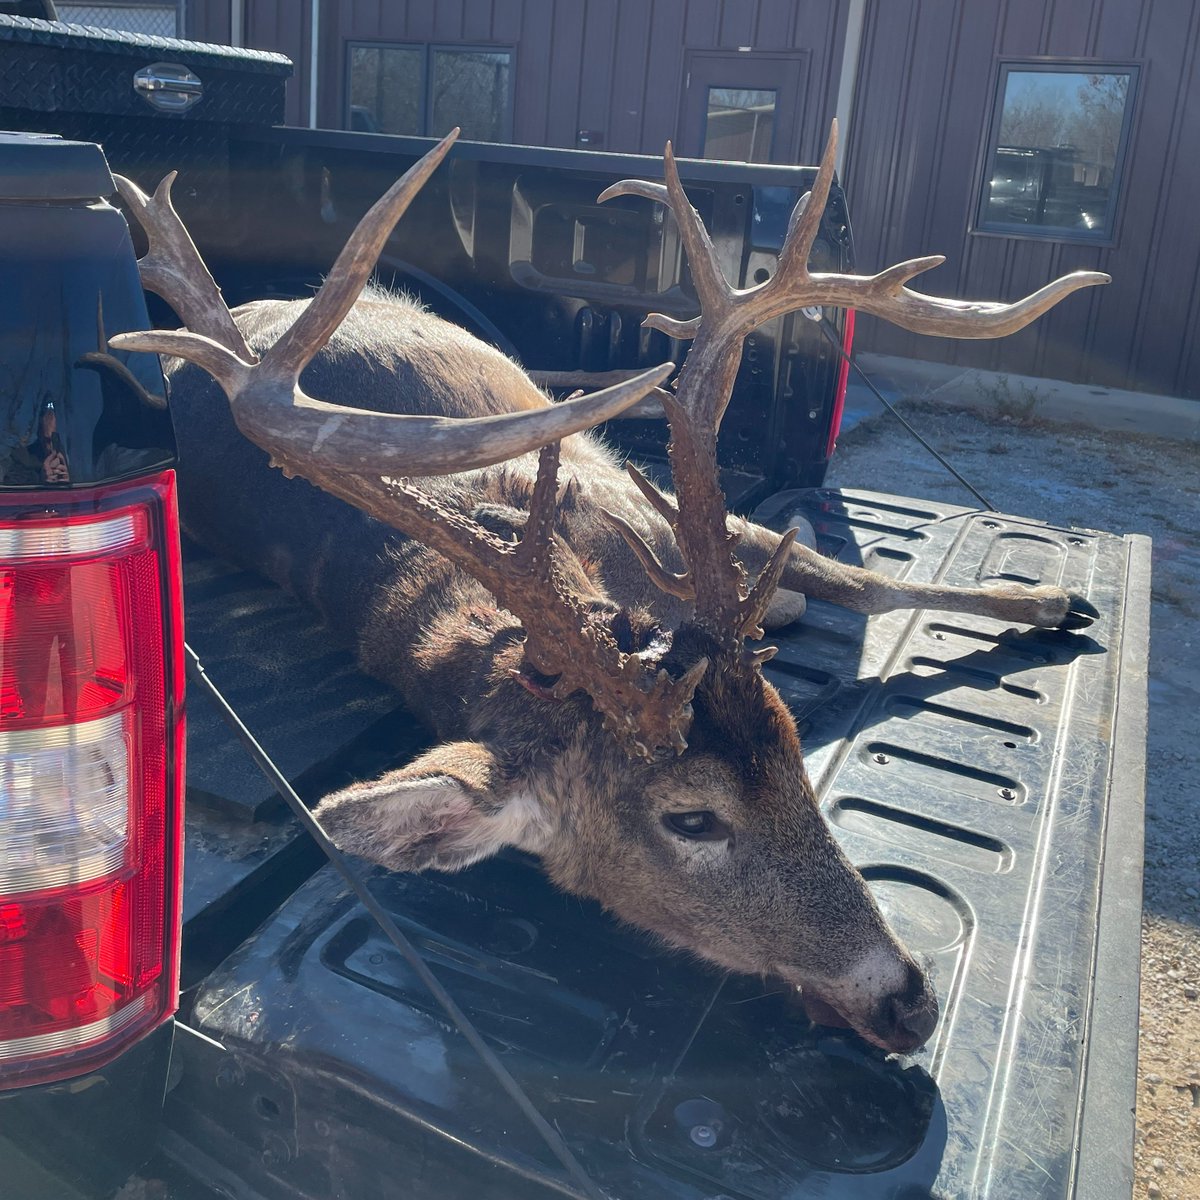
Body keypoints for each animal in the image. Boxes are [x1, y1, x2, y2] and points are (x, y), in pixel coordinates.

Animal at [111, 123, 1107, 1056]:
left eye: (793, 747)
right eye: (692, 818)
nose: (909, 1001)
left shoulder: (650, 511)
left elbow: (861, 585)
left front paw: (1049, 604)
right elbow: (846, 588)